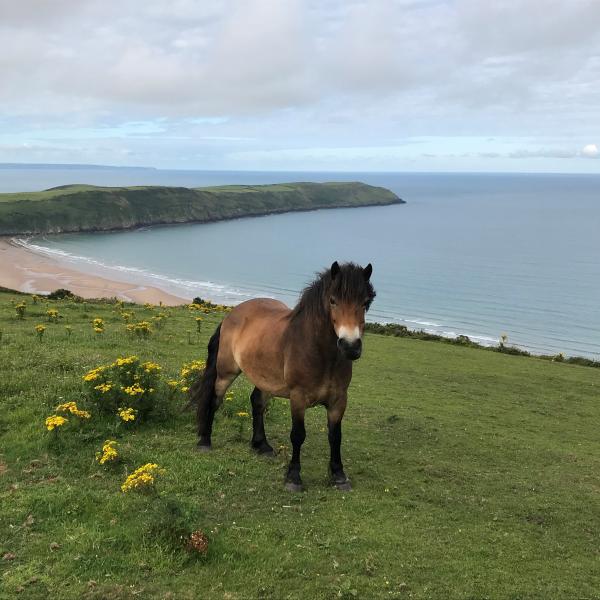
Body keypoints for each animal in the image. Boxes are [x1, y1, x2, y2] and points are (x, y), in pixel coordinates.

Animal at [190, 262, 376, 492]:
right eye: (333, 300)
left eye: (365, 302)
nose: (350, 347)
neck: (320, 353)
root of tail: (232, 314)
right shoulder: (298, 398)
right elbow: (298, 435)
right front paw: (293, 478)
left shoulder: (339, 400)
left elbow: (335, 437)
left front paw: (339, 475)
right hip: (226, 373)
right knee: (215, 401)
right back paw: (205, 441)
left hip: (265, 378)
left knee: (257, 403)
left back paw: (261, 445)